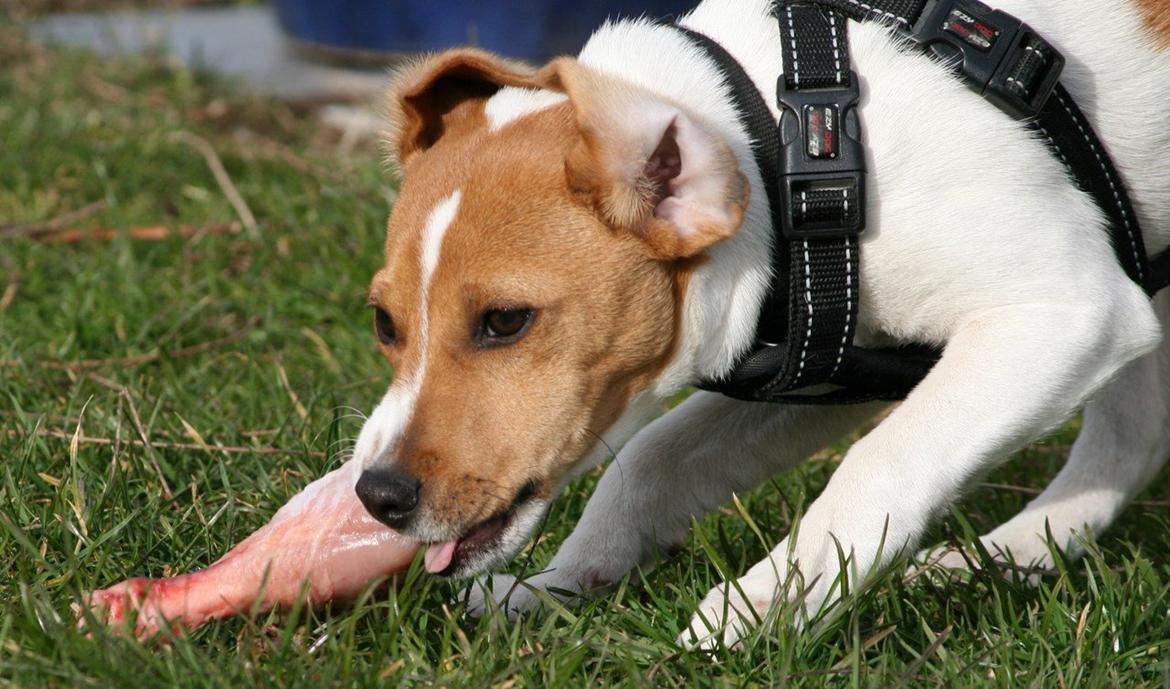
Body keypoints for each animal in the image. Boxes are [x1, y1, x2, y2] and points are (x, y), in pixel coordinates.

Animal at [348, 0, 1170, 645]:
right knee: (1131, 437)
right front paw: (556, 586)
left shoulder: (1066, 312)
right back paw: (1002, 560)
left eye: (506, 321)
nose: (376, 497)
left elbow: (879, 464)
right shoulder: (838, 361)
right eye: (385, 323)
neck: (799, 139)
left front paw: (761, 606)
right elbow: (651, 460)